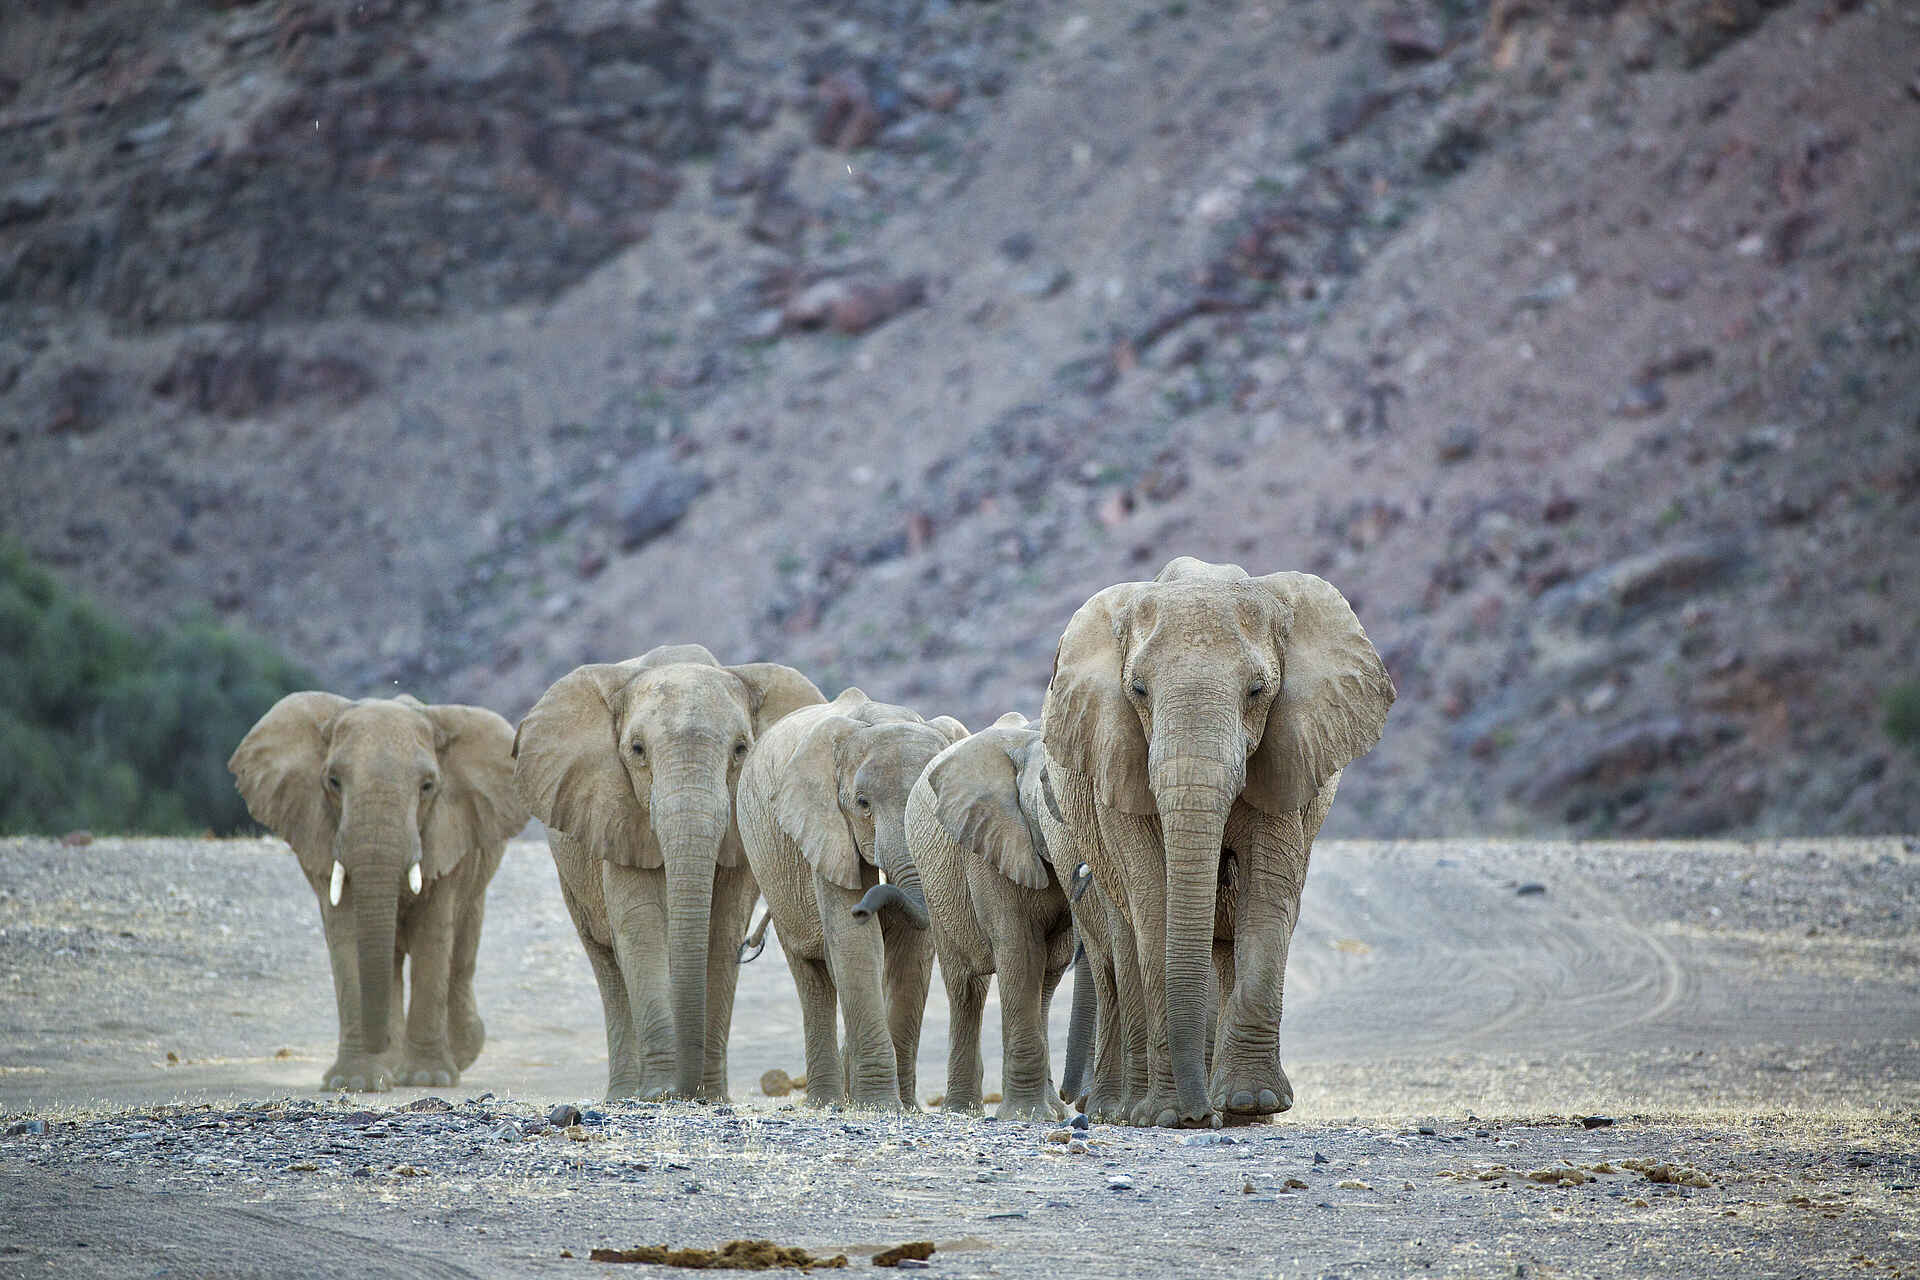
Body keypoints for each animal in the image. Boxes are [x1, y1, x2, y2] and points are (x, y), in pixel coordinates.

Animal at [228, 693, 526, 1092]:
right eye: (333, 781)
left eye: (428, 786)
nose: (376, 1043)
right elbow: (349, 936)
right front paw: (356, 1082)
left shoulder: (449, 834)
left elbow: (433, 936)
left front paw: (427, 1078)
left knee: (461, 950)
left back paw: (455, 1053)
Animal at [511, 644, 824, 1101]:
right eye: (637, 749)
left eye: (741, 749)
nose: (686, 1091)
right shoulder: (615, 811)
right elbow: (641, 926)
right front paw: (659, 1092)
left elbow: (722, 930)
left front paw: (710, 1097)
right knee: (605, 961)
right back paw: (624, 1095)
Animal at [735, 688, 967, 1110]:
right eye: (862, 803)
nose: (865, 908)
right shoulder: (824, 825)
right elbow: (853, 939)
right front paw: (880, 1106)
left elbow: (912, 950)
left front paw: (904, 1108)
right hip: (770, 871)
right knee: (812, 978)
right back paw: (826, 1103)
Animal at [907, 712, 1079, 1120]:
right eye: (1046, 787)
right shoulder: (988, 844)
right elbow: (1019, 950)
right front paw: (1025, 1117)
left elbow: (1043, 964)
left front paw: (1039, 1115)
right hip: (936, 886)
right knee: (965, 987)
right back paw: (962, 1111)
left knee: (1048, 978)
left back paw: (1052, 1112)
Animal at [1040, 556, 1394, 1128]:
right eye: (1138, 690)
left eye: (1257, 691)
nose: (1198, 1115)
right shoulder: (1114, 763)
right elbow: (1154, 899)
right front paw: (1168, 1116)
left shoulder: (1289, 756)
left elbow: (1268, 896)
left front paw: (1253, 1104)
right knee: (1126, 938)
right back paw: (1137, 1110)